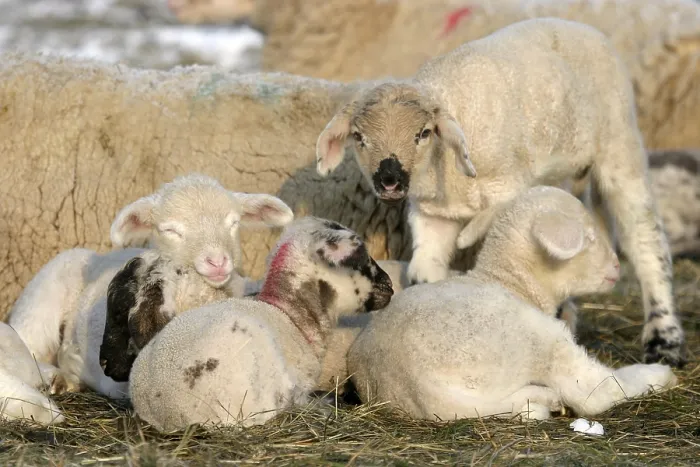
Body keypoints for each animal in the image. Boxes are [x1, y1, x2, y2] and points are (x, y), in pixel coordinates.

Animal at [7, 173, 294, 399]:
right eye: (170, 230)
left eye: (233, 223)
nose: (217, 261)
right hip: (42, 302)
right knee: (24, 348)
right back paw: (55, 378)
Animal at [316, 18, 686, 367]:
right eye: (359, 137)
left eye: (423, 133)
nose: (389, 179)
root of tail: (579, 25)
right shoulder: (432, 214)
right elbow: (425, 271)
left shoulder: (508, 185)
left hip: (619, 144)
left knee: (645, 239)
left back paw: (664, 338)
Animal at [347, 186, 679, 421]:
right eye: (590, 238)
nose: (617, 266)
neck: (510, 282)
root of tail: (416, 387)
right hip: (536, 339)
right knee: (593, 392)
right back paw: (657, 375)